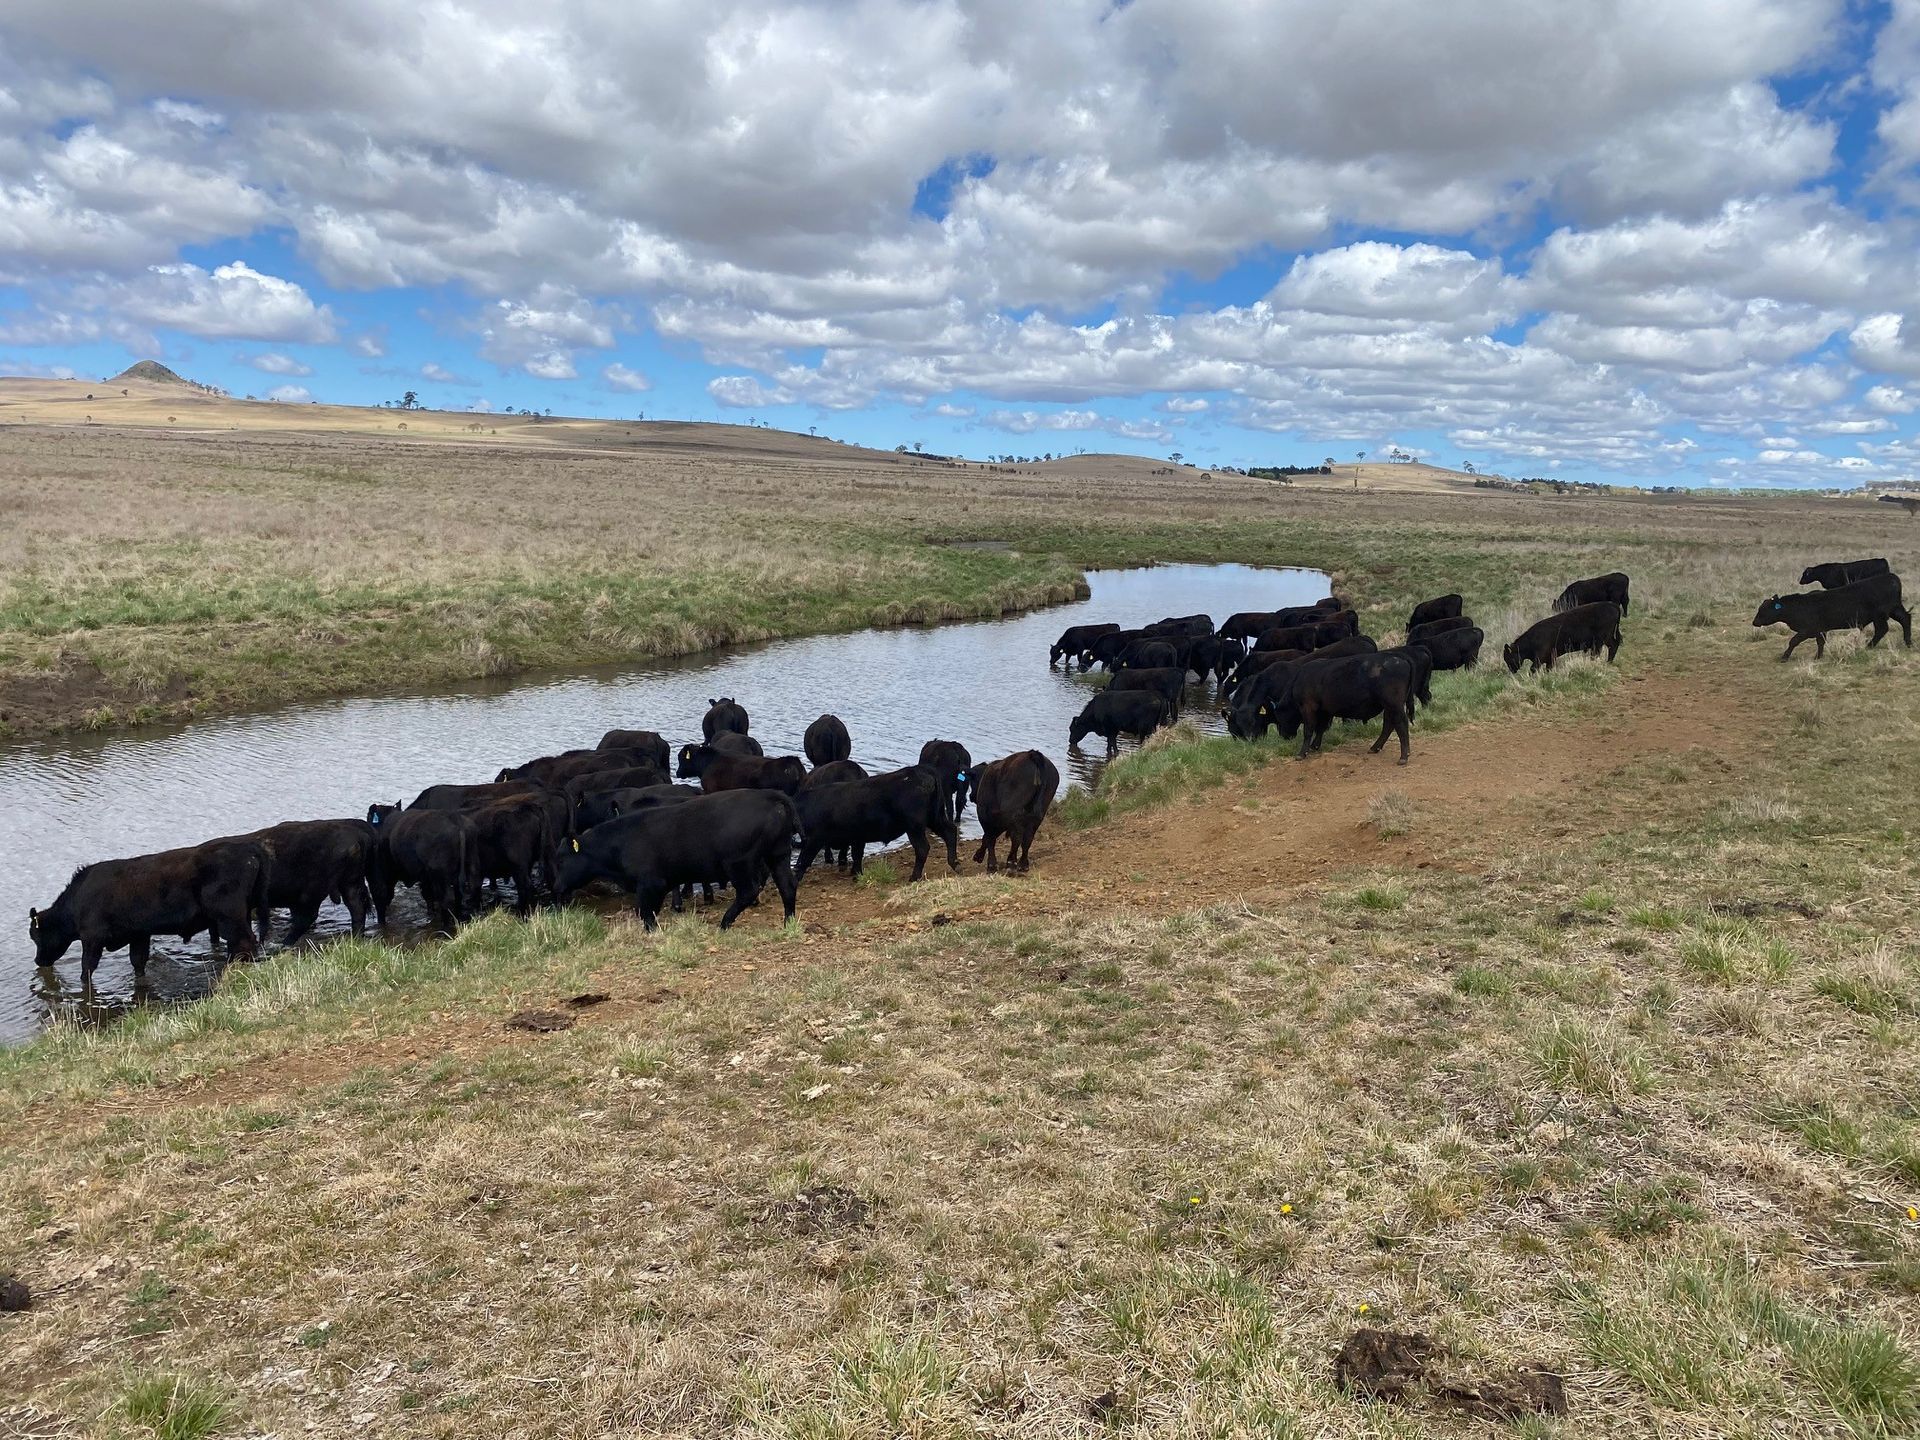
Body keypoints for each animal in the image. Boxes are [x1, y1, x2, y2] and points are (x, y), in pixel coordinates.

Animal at [28, 838, 272, 984]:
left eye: (35, 936)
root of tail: (248, 848)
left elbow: (87, 968)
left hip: (229, 916)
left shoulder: (92, 938)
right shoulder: (139, 934)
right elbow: (138, 961)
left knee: (244, 942)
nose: (38, 961)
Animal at [553, 789, 799, 931]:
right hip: (778, 854)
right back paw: (788, 922)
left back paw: (725, 923)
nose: (556, 887)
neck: (620, 840)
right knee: (787, 886)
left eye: (561, 860)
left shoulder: (650, 884)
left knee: (749, 891)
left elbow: (647, 914)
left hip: (739, 863)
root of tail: (769, 796)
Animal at [794, 764, 959, 882]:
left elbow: (803, 860)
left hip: (915, 826)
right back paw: (955, 863)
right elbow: (857, 855)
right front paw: (856, 873)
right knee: (950, 832)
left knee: (923, 848)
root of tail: (921, 770)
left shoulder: (814, 839)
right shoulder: (857, 837)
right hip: (935, 817)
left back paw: (914, 877)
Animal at [1271, 653, 1416, 765]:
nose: (1284, 736)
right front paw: (1315, 745)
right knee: (1389, 725)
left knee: (1400, 724)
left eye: (1280, 718)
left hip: (1394, 705)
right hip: (1389, 706)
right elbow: (1321, 728)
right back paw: (1376, 748)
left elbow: (1309, 730)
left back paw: (1403, 757)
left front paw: (1302, 754)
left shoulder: (1308, 707)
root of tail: (1399, 657)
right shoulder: (1325, 710)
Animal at [1752, 574, 1912, 660]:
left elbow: (1793, 641)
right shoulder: (1820, 630)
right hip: (1894, 610)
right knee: (1905, 619)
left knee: (1882, 629)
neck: (1798, 606)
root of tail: (1891, 577)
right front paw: (1818, 656)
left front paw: (1785, 657)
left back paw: (1869, 646)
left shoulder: (1807, 630)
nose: (1754, 622)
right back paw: (1908, 642)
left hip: (1880, 615)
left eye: (1763, 610)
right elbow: (1821, 643)